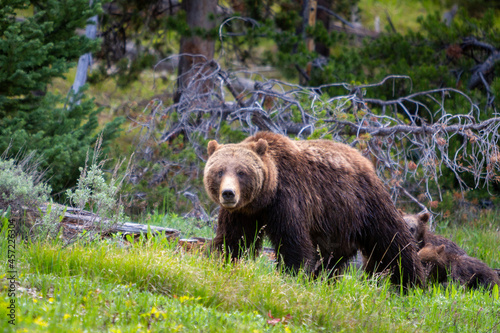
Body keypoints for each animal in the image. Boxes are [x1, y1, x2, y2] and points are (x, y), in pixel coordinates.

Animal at [205, 132, 424, 286]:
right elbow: (234, 240)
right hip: (336, 224)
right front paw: (226, 262)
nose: (228, 193)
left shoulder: (288, 199)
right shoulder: (241, 213)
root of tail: (365, 161)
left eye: (242, 172)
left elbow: (293, 243)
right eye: (219, 171)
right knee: (332, 258)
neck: (264, 198)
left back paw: (412, 283)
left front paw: (290, 274)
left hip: (365, 204)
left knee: (393, 242)